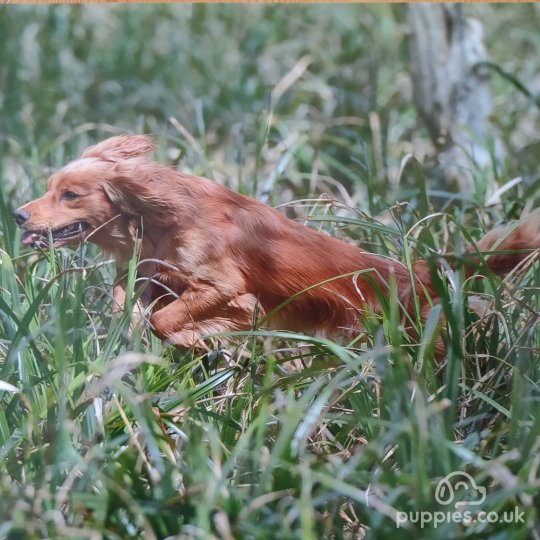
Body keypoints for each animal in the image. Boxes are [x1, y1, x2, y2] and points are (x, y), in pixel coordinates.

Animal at [13, 135, 540, 352]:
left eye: (71, 195)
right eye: (51, 187)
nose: (17, 214)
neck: (158, 220)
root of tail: (423, 270)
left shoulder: (220, 282)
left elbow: (172, 318)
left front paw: (196, 335)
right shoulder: (153, 273)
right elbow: (131, 298)